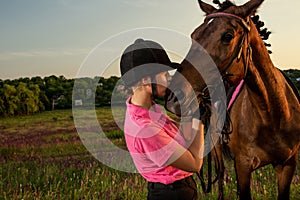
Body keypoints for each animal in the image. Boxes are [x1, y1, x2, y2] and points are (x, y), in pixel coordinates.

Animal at [165, 0, 300, 200]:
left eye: (227, 36)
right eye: (194, 35)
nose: (174, 97)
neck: (273, 114)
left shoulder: (288, 165)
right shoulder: (243, 166)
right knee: (220, 176)